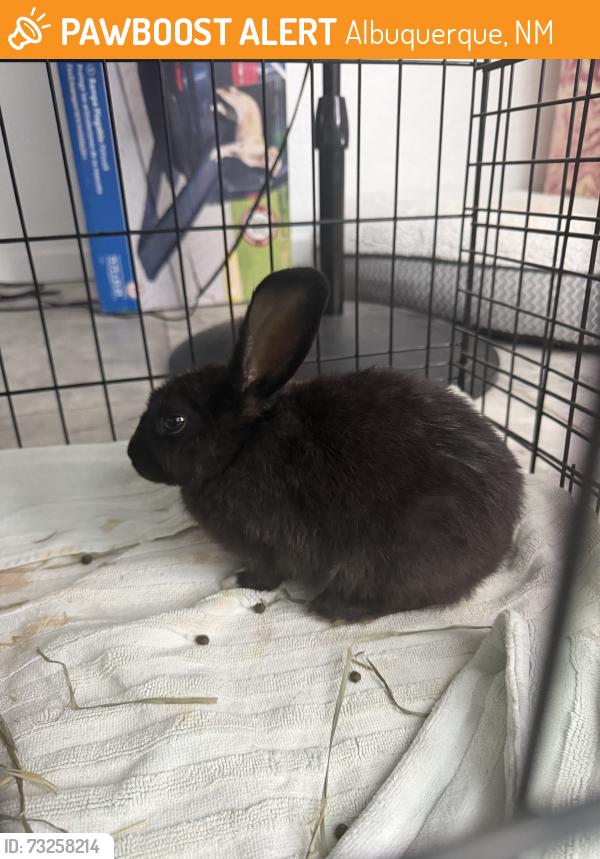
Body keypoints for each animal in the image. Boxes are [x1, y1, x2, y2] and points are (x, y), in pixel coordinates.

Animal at [128, 267, 523, 622]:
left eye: (173, 421)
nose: (132, 456)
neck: (238, 450)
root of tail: (503, 537)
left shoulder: (266, 546)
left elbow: (265, 576)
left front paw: (234, 581)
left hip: (399, 553)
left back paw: (333, 607)